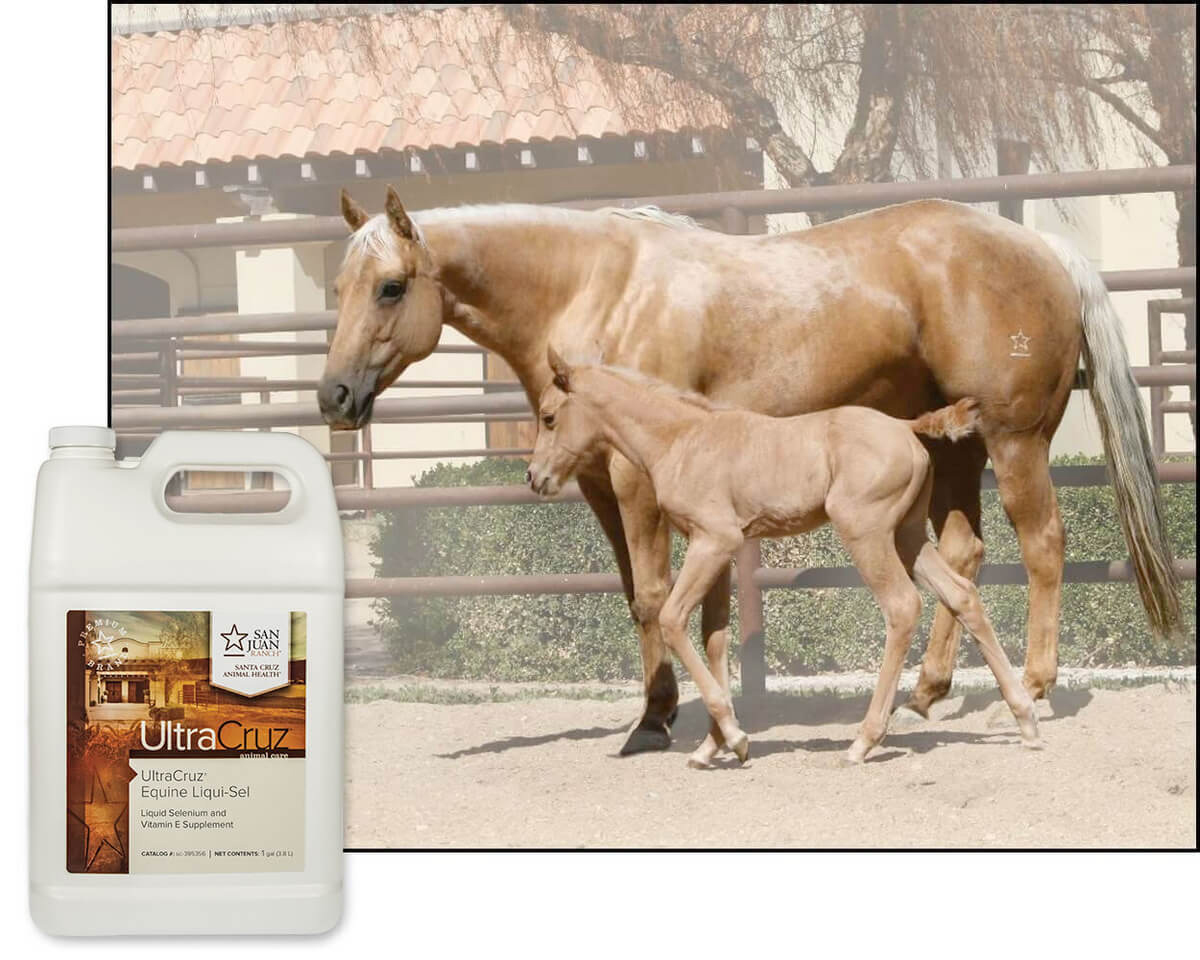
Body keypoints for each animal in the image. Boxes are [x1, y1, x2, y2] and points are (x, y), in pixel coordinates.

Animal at [527, 349, 1041, 766]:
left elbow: (673, 620)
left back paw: (864, 740)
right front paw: (712, 746)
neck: (682, 438)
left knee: (902, 606)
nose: (535, 477)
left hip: (867, 533)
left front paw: (734, 739)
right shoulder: (717, 547)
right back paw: (1025, 720)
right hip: (908, 535)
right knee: (962, 595)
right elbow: (715, 637)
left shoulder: (713, 541)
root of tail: (904, 426)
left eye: (549, 417)